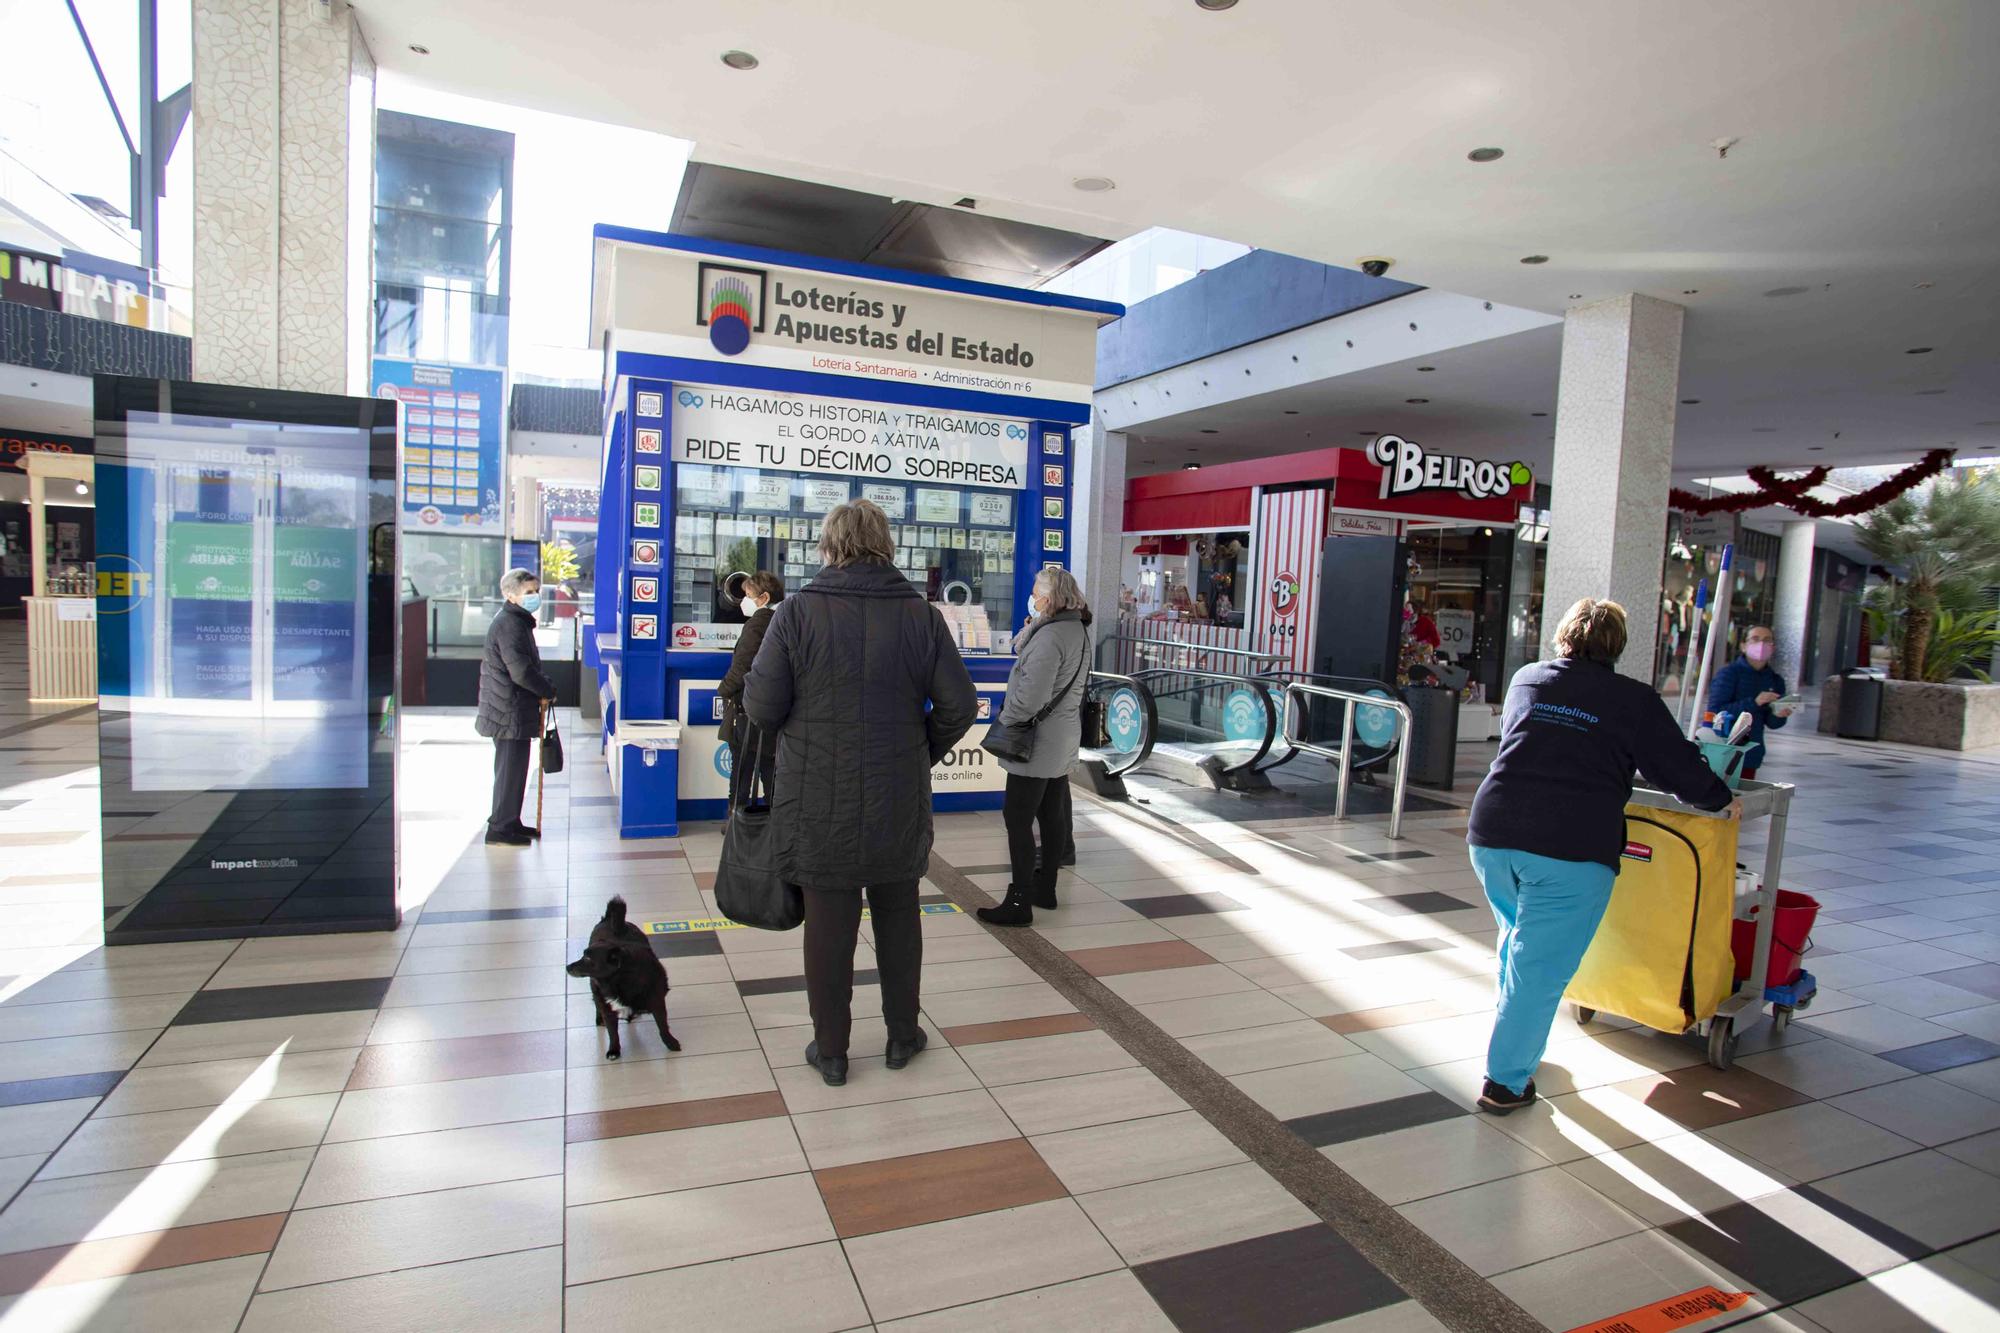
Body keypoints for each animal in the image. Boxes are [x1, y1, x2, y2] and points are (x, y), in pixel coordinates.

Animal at [568, 892, 684, 1056]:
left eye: (588, 958)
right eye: (584, 956)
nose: (567, 967)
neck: (620, 981)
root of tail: (609, 919)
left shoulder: (657, 1001)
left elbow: (662, 1026)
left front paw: (670, 1042)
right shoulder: (608, 1007)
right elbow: (613, 1032)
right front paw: (614, 1050)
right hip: (596, 990)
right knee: (597, 1003)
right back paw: (600, 1018)